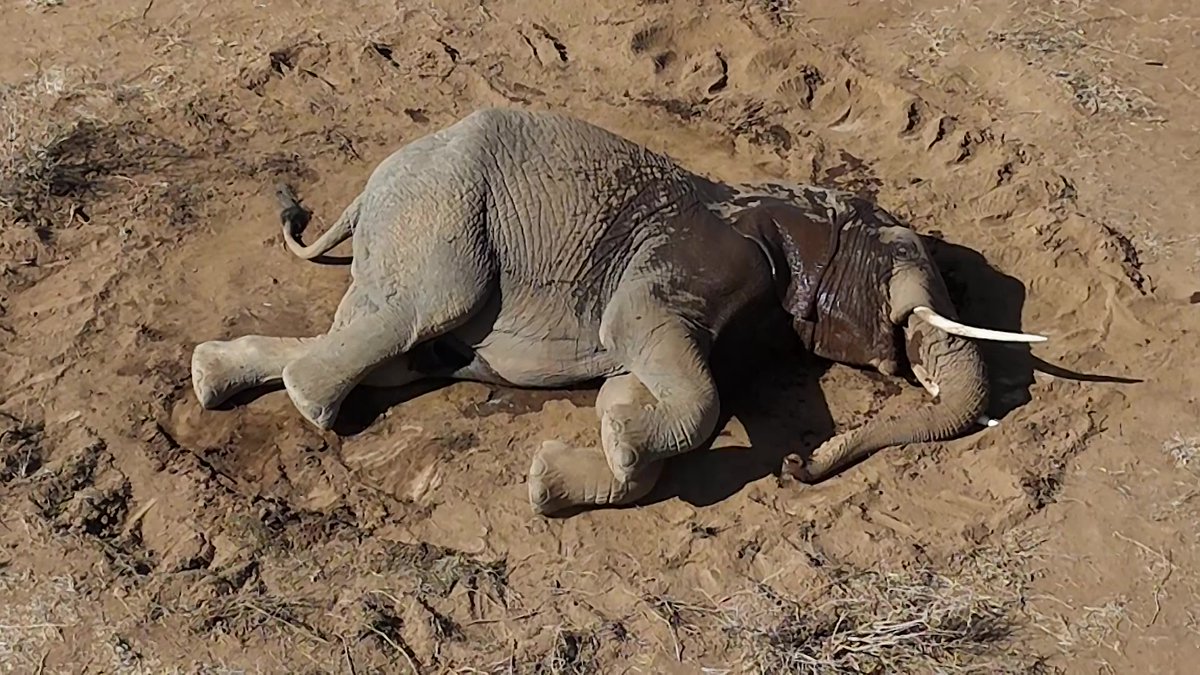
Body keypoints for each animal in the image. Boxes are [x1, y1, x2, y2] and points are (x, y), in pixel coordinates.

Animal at [190, 107, 1046, 515]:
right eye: (916, 292)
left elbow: (655, 382)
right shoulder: (700, 258)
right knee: (418, 315)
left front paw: (571, 464)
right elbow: (667, 367)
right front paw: (620, 440)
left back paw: (213, 376)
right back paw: (310, 403)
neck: (789, 205)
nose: (799, 466)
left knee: (394, 349)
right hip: (440, 216)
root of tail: (367, 189)